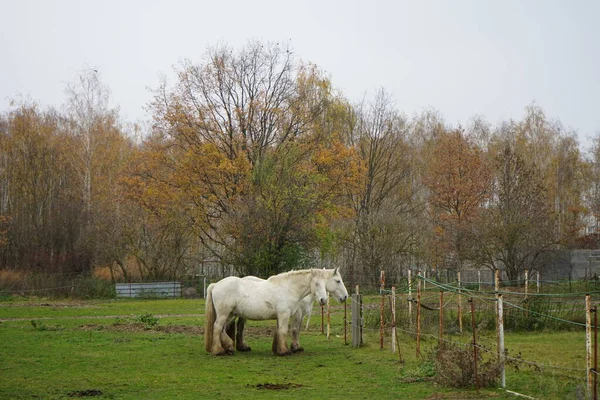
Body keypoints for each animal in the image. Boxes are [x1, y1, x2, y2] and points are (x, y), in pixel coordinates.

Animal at [204, 268, 344, 356]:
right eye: (317, 284)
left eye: (325, 284)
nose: (323, 300)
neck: (288, 288)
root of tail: (216, 285)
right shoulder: (285, 314)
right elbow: (285, 331)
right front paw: (285, 351)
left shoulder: (281, 316)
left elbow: (279, 331)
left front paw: (278, 349)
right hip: (224, 314)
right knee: (217, 327)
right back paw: (219, 350)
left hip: (230, 314)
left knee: (222, 329)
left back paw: (229, 347)